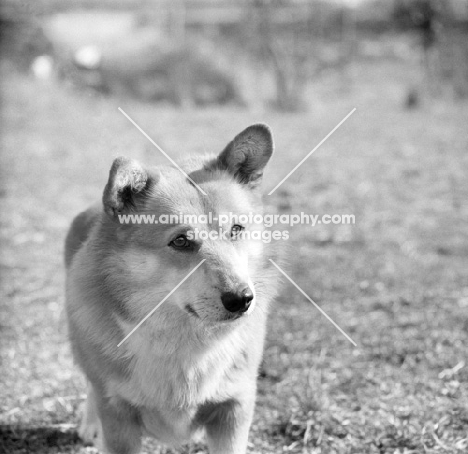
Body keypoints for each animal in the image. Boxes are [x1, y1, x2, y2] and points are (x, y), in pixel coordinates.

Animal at [65, 122, 282, 452]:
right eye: (181, 241)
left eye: (236, 230)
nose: (242, 299)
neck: (185, 343)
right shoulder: (118, 417)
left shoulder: (234, 409)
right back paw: (90, 426)